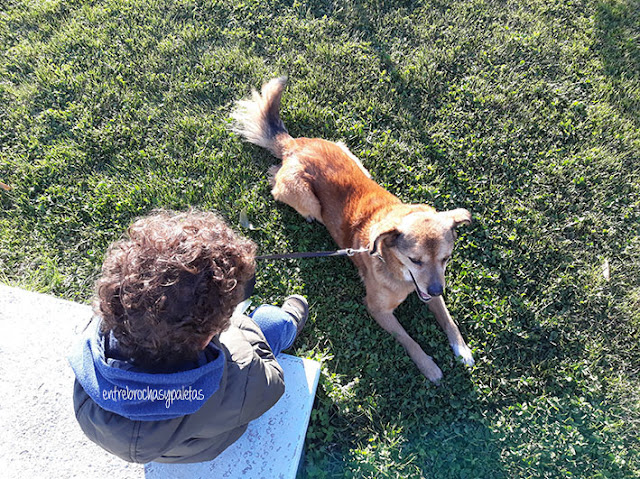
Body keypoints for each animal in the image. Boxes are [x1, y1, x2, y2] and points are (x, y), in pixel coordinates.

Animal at [232, 79, 472, 384]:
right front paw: (429, 366)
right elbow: (409, 340)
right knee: (274, 179)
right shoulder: (378, 309)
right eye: (415, 260)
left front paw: (462, 349)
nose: (437, 288)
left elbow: (448, 320)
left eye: (446, 258)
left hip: (355, 159)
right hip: (304, 196)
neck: (394, 266)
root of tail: (295, 145)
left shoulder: (431, 291)